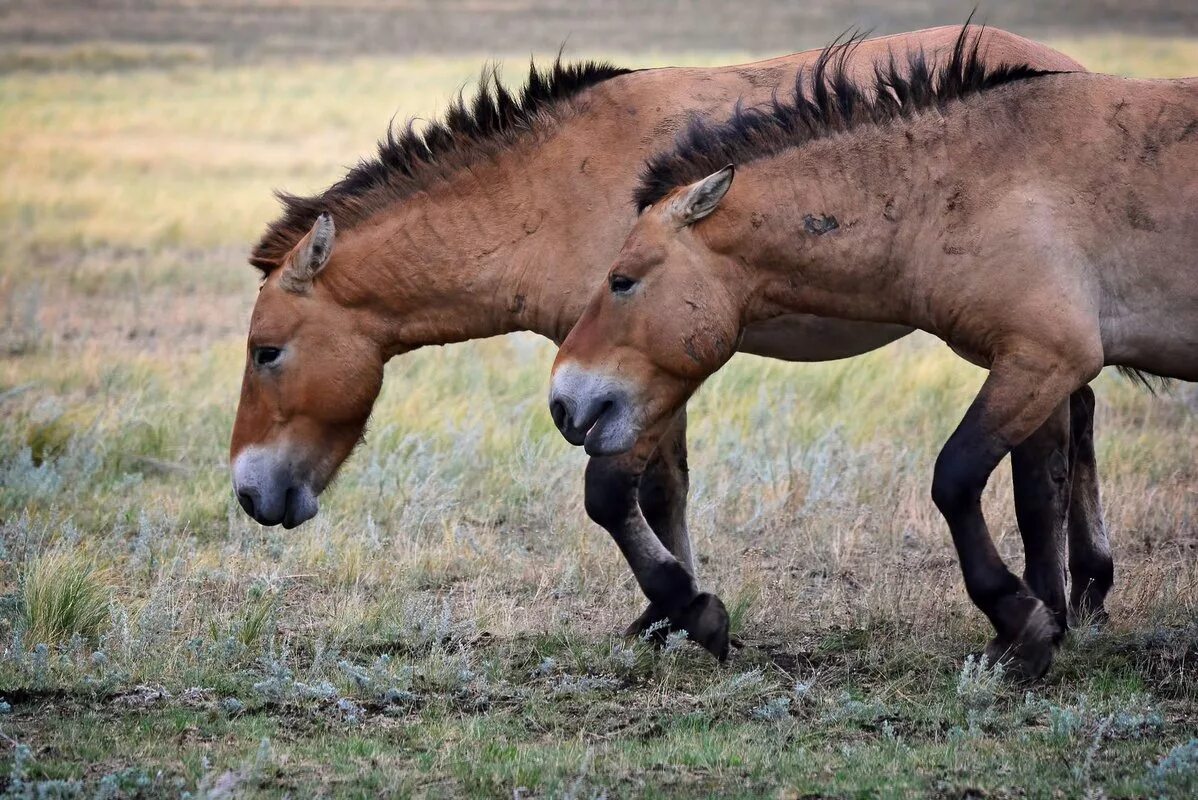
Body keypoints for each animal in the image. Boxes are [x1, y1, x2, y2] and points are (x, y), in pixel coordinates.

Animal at [228, 25, 1106, 661]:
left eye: (266, 351)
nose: (248, 494)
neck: (553, 191)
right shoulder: (638, 381)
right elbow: (661, 495)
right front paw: (665, 614)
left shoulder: (642, 375)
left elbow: (609, 496)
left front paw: (693, 610)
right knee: (1075, 425)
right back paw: (1086, 589)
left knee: (1044, 457)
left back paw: (1045, 608)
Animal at [548, 26, 1193, 675]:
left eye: (622, 280)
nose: (561, 400)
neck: (974, 181)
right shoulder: (1036, 367)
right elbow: (1038, 486)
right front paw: (1043, 621)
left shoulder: (1045, 358)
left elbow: (958, 479)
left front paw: (1019, 623)